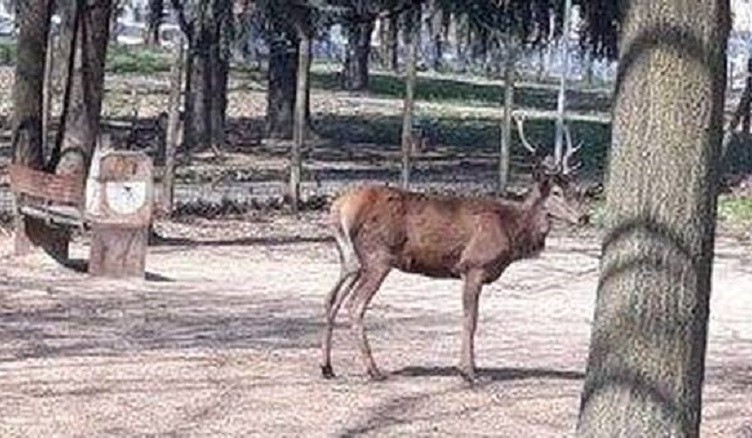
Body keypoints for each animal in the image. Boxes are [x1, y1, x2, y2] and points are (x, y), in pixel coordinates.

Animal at [320, 115, 589, 384]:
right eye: (556, 192)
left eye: (574, 188)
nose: (584, 217)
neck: (510, 229)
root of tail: (340, 207)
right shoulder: (473, 265)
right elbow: (471, 320)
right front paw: (468, 372)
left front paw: (469, 368)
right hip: (378, 256)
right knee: (355, 305)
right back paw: (373, 370)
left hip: (351, 260)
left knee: (331, 298)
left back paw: (327, 367)